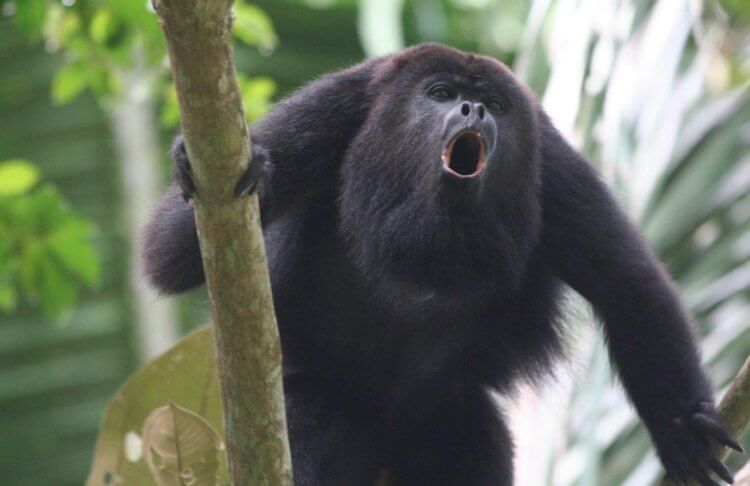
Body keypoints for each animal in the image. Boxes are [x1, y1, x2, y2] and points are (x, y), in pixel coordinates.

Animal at [144, 43, 744, 484]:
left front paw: (679, 429)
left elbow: (627, 284)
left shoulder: (549, 162)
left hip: (445, 416)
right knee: (313, 423)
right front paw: (256, 173)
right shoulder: (336, 107)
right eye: (441, 94)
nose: (472, 109)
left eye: (496, 105)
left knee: (471, 436)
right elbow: (167, 252)